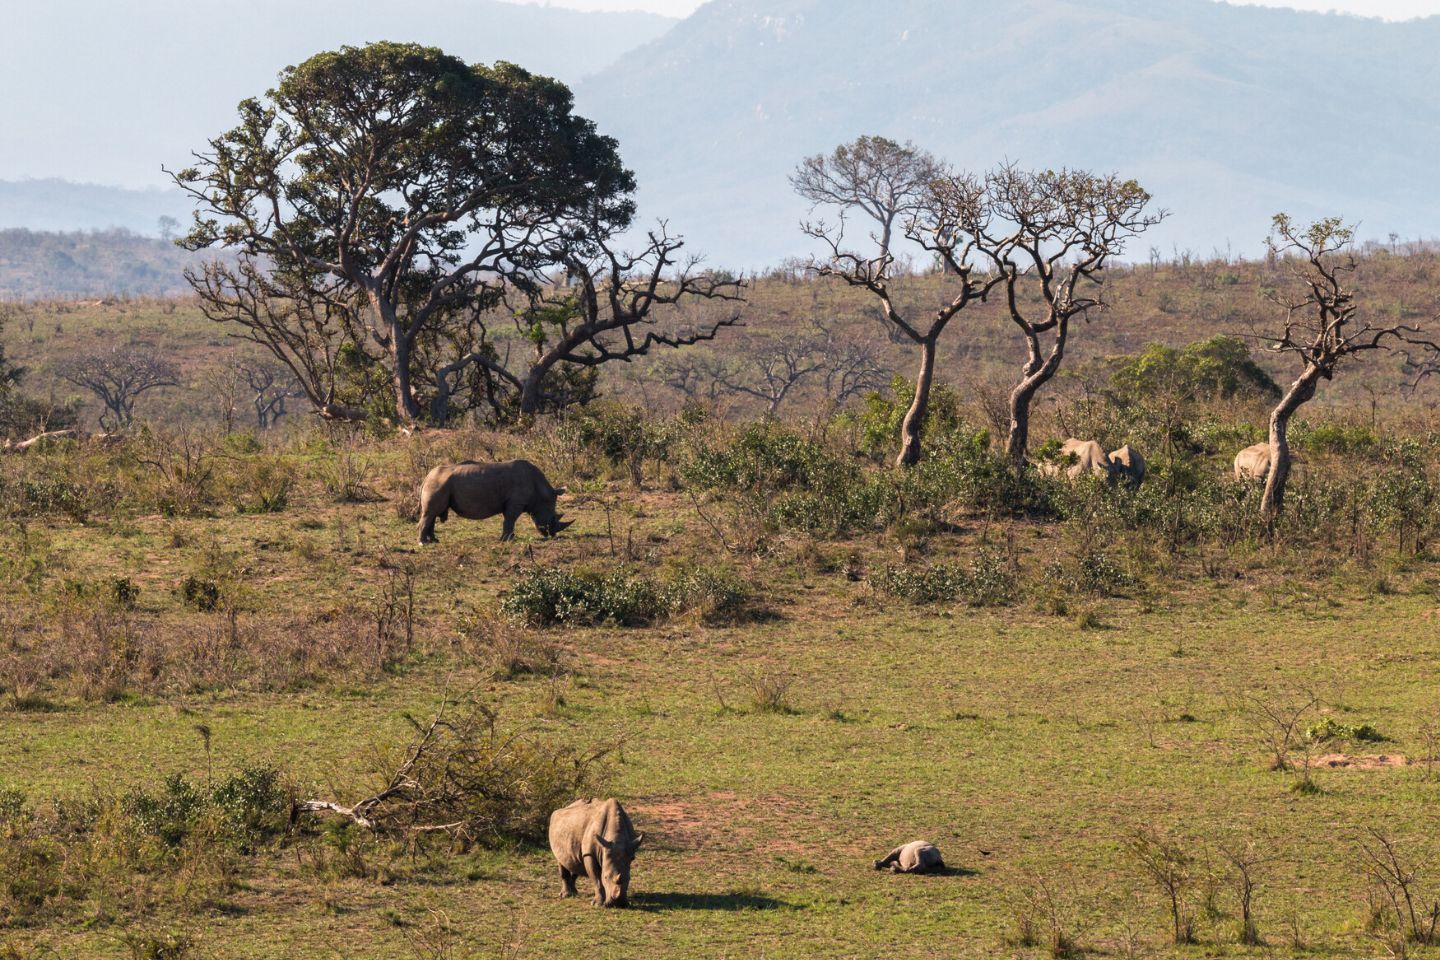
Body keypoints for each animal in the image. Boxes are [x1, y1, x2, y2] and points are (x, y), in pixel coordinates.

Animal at [414, 460, 570, 544]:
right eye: (552, 518)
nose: (552, 535)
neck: (540, 492)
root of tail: (427, 477)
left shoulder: (511, 503)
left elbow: (508, 520)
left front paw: (509, 538)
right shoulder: (515, 503)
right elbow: (510, 520)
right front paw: (507, 540)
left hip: (438, 483)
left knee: (432, 514)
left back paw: (434, 541)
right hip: (437, 484)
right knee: (430, 514)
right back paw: (423, 543)